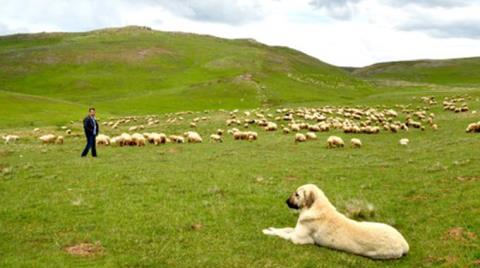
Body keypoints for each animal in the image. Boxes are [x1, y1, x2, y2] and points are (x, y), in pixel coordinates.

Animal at [262, 184, 408, 260]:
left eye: (297, 194)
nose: (286, 201)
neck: (315, 207)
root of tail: (404, 244)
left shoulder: (298, 239)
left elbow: (282, 234)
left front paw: (267, 231)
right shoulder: (296, 230)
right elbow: (285, 229)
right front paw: (271, 228)